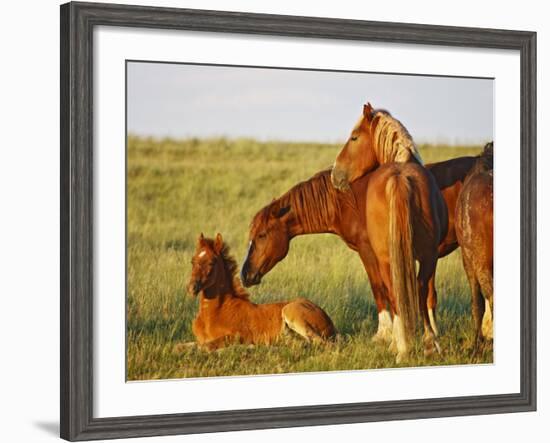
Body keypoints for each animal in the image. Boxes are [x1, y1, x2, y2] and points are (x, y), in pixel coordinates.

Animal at [187, 232, 336, 350]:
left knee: (322, 343)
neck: (213, 313)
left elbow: (206, 347)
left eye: (211, 262)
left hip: (291, 312)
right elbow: (185, 345)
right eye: (192, 261)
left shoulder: (237, 335)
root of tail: (330, 322)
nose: (191, 288)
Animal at [330, 105, 450, 364]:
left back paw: (405, 345)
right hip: (420, 257)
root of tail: (400, 177)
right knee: (413, 291)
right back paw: (421, 344)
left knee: (400, 293)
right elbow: (426, 295)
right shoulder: (428, 257)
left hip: (393, 259)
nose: (335, 174)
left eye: (354, 137)